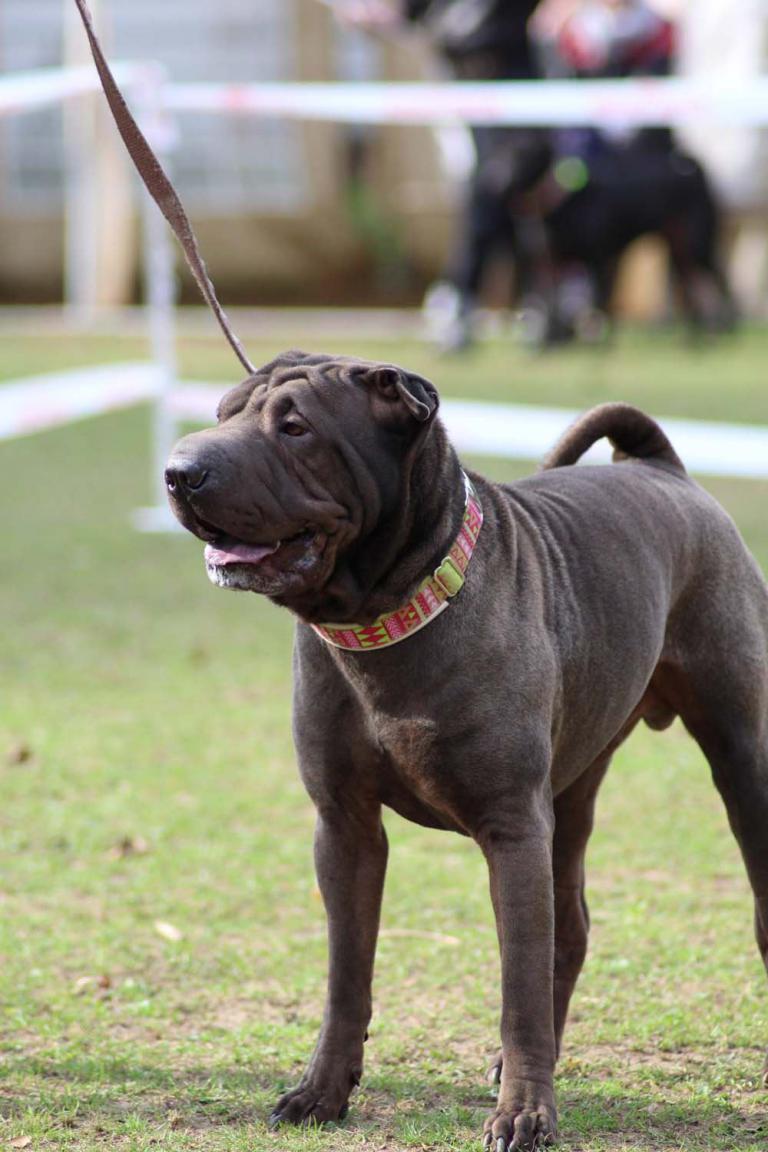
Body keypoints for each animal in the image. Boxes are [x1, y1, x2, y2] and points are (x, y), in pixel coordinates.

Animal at [164, 352, 768, 1151]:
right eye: (224, 412)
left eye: (295, 428)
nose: (179, 471)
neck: (387, 616)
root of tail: (662, 468)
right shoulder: (345, 828)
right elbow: (346, 976)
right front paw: (321, 1091)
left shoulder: (511, 829)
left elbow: (518, 987)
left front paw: (524, 1113)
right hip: (572, 791)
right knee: (571, 927)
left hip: (741, 755)